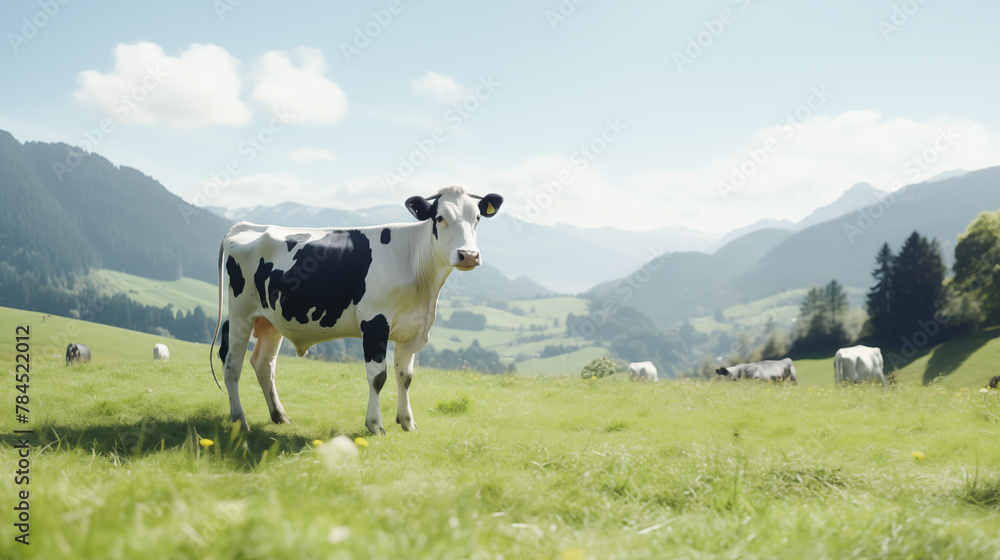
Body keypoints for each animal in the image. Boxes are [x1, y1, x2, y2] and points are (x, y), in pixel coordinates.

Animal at [210, 185, 503, 435]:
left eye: (477, 217)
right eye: (440, 217)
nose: (468, 255)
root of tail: (244, 226)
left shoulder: (411, 328)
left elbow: (405, 377)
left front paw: (407, 422)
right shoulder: (374, 322)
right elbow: (378, 376)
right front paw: (375, 424)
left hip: (270, 319)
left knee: (264, 365)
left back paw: (280, 416)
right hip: (240, 314)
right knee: (232, 363)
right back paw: (239, 419)